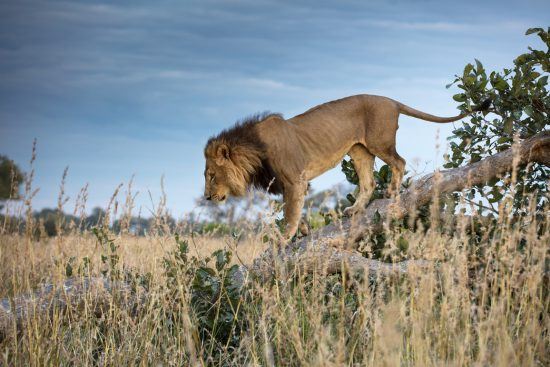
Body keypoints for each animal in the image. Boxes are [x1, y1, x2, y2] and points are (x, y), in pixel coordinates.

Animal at [204, 93, 492, 240]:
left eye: (211, 175)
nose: (206, 197)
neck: (253, 152)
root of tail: (391, 100)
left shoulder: (294, 180)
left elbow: (289, 214)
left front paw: (283, 239)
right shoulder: (291, 184)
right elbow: (296, 211)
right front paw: (304, 230)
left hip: (378, 142)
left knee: (399, 162)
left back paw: (392, 192)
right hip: (359, 150)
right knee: (369, 182)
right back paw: (356, 209)